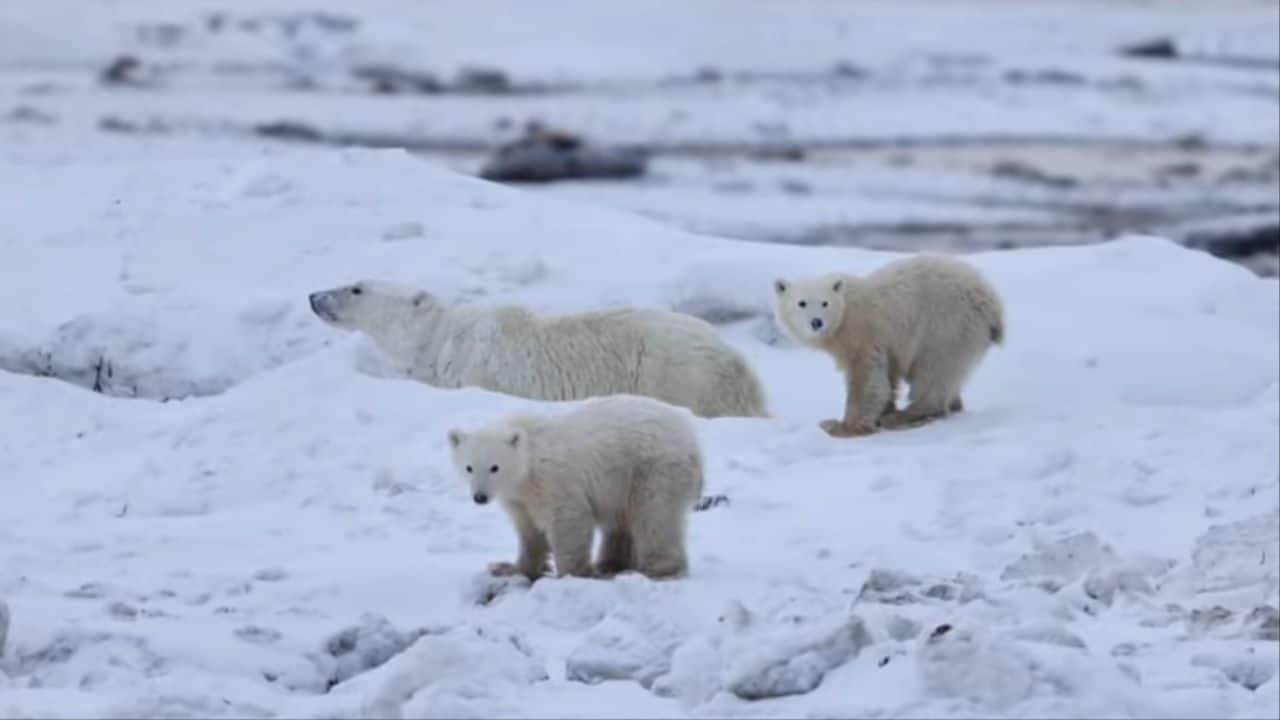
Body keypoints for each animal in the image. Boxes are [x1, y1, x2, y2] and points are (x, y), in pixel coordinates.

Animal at [446, 395, 704, 580]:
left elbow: (568, 519)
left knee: (654, 516)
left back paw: (657, 569)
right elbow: (528, 530)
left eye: (494, 467)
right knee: (621, 520)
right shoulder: (519, 498)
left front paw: (573, 573)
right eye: (469, 467)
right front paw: (509, 567)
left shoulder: (552, 479)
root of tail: (692, 440)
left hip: (652, 468)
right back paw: (610, 565)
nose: (480, 497)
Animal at [772, 254, 1004, 437]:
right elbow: (887, 376)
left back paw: (904, 416)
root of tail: (992, 304)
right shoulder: (885, 343)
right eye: (801, 303)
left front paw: (843, 426)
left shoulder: (863, 334)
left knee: (932, 371)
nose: (816, 322)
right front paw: (882, 410)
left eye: (824, 303)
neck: (845, 312)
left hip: (945, 324)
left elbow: (866, 379)